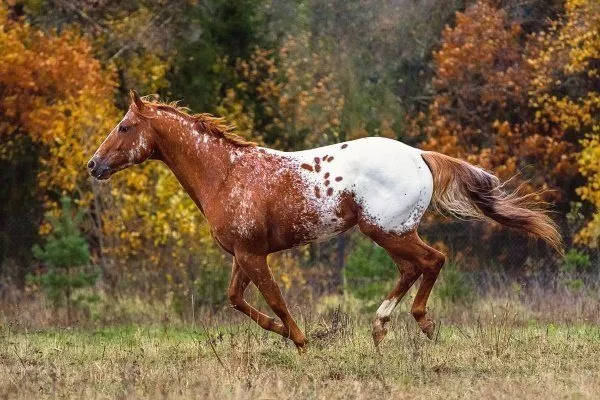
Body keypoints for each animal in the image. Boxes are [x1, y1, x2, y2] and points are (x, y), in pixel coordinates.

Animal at [89, 90, 564, 350]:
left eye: (125, 127)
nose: (93, 165)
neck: (226, 174)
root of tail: (419, 155)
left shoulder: (254, 255)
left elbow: (275, 300)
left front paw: (301, 342)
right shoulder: (243, 254)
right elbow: (237, 300)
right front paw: (286, 335)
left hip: (385, 230)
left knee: (431, 261)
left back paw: (417, 324)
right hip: (392, 232)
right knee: (414, 267)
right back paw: (382, 328)